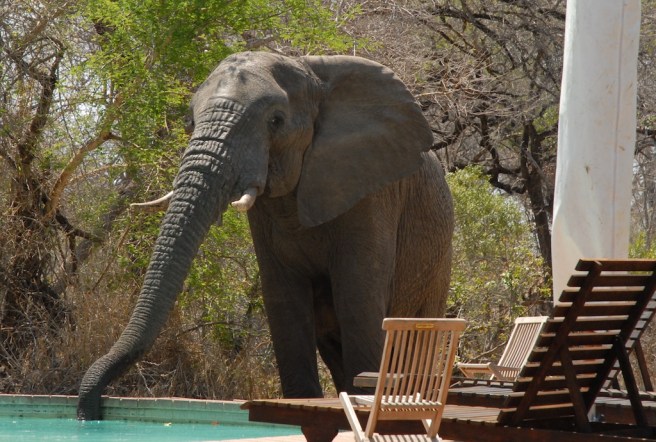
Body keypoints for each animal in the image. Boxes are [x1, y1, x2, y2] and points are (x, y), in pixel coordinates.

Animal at [77, 51, 454, 420]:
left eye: (276, 121)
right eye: (190, 123)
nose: (88, 409)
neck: (310, 73)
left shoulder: (371, 192)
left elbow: (357, 298)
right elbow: (284, 301)